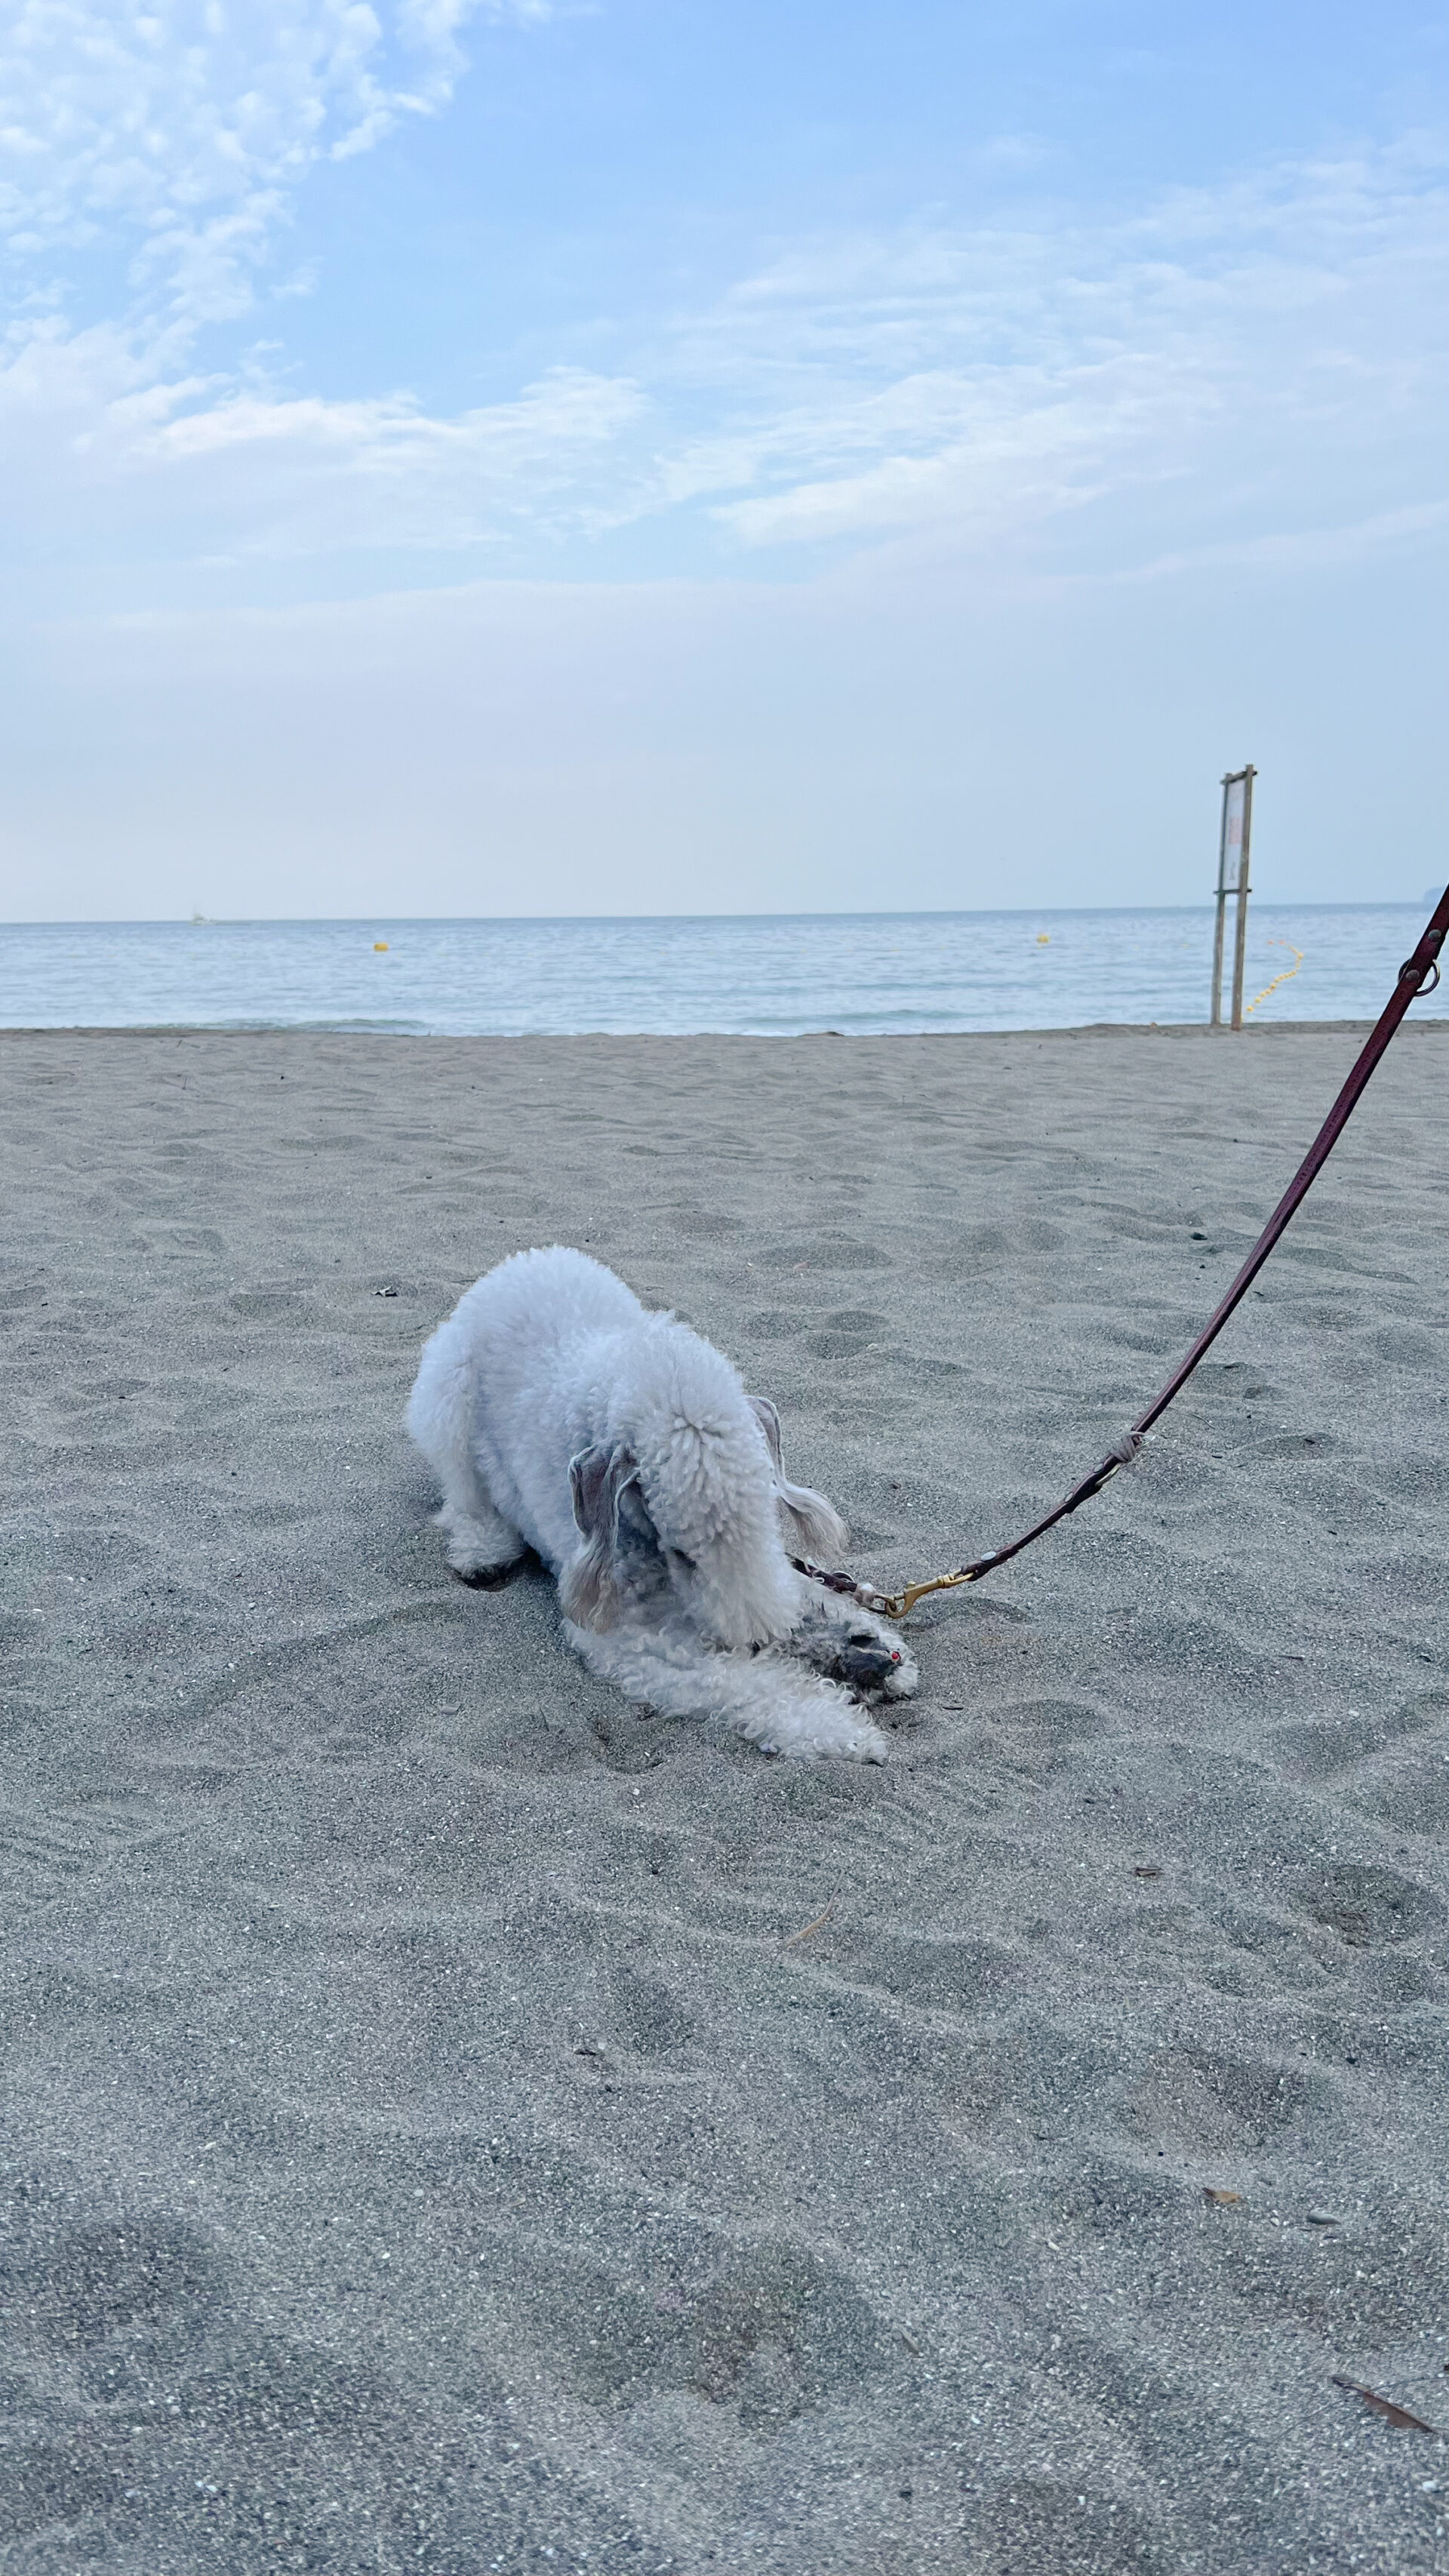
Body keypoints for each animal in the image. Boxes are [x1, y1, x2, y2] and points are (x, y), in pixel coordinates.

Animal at [406, 1242, 916, 1762]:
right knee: (465, 1497)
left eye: (768, 1525)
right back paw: (483, 1552)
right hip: (445, 1404)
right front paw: (840, 1727)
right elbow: (735, 1680)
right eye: (683, 1555)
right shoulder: (629, 1635)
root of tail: (522, 1261)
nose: (757, 1637)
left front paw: (863, 1642)